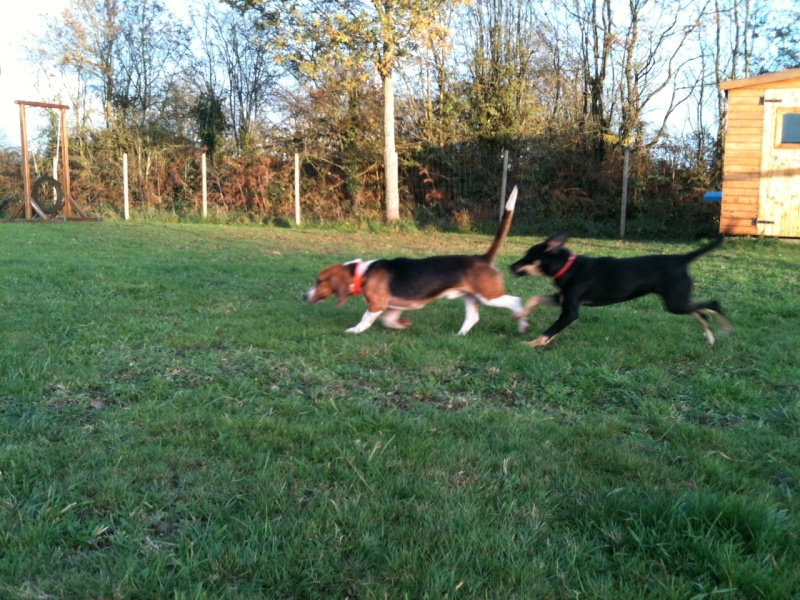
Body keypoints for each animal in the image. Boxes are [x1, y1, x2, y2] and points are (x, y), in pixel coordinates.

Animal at [306, 188, 532, 336]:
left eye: (319, 281)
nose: (304, 296)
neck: (363, 272)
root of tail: (483, 258)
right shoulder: (394, 306)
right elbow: (389, 321)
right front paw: (402, 325)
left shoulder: (377, 305)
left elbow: (365, 319)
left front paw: (354, 330)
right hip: (471, 296)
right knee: (472, 318)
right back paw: (459, 335)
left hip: (489, 295)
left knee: (516, 301)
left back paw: (522, 324)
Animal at [512, 234, 732, 346]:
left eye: (529, 256)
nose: (511, 266)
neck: (568, 266)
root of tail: (682, 259)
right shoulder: (561, 299)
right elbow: (535, 298)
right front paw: (521, 315)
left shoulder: (570, 311)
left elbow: (549, 331)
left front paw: (532, 344)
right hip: (678, 300)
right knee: (701, 312)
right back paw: (711, 337)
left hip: (675, 302)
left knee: (712, 304)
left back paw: (725, 328)